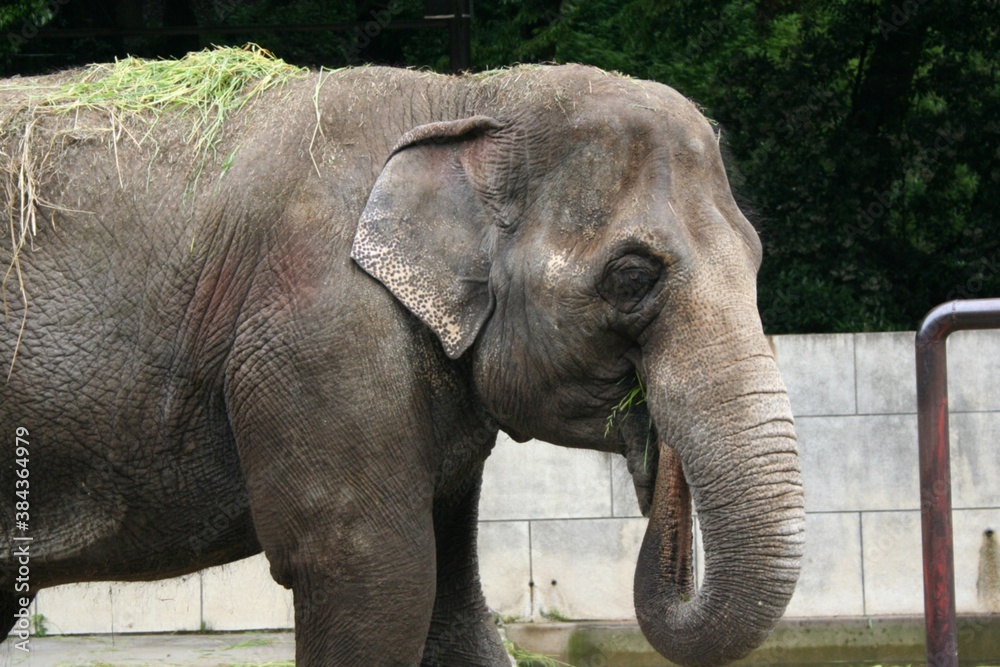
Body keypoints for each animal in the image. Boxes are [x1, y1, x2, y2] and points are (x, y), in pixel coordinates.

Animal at [0, 57, 804, 667]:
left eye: (759, 259)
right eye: (633, 276)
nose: (656, 461)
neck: (469, 97)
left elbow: (454, 605)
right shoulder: (326, 330)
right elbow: (379, 574)